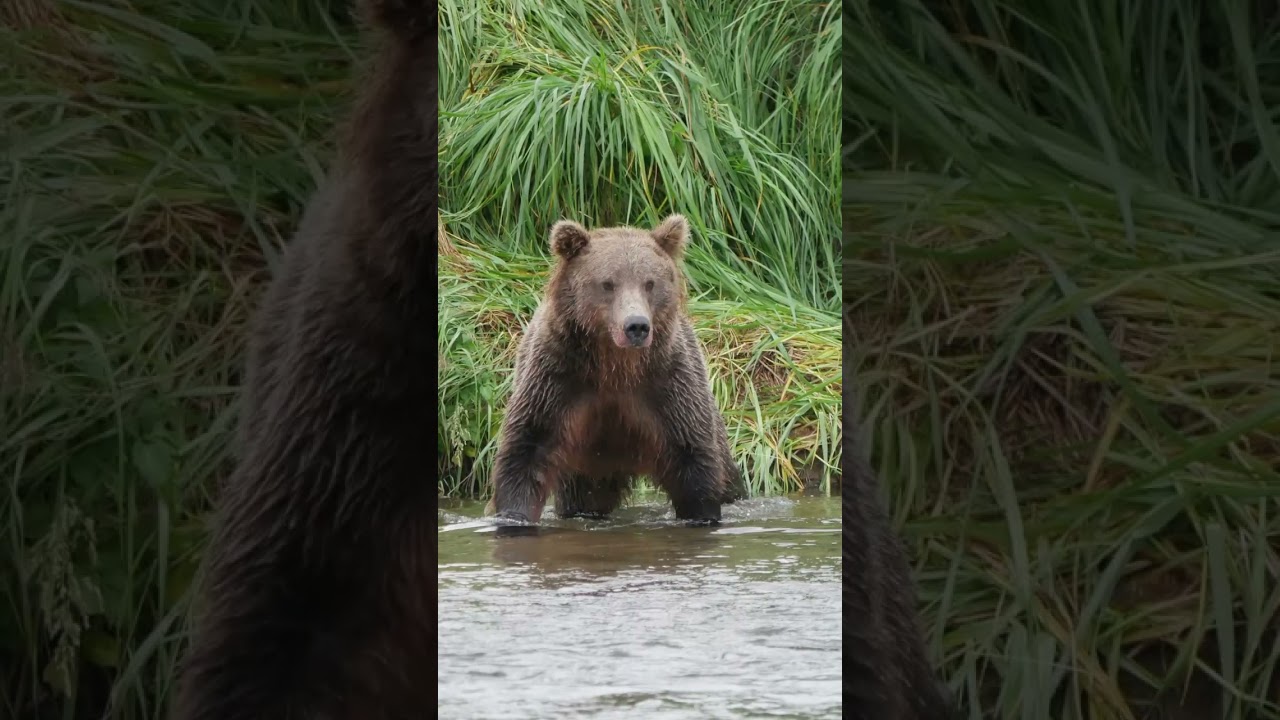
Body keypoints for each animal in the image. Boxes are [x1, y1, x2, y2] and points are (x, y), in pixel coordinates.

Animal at [485, 215, 746, 525]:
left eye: (650, 283)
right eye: (608, 283)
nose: (637, 326)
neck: (615, 365)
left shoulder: (667, 385)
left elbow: (693, 459)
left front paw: (702, 515)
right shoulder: (557, 379)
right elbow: (526, 451)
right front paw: (514, 516)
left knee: (728, 475)